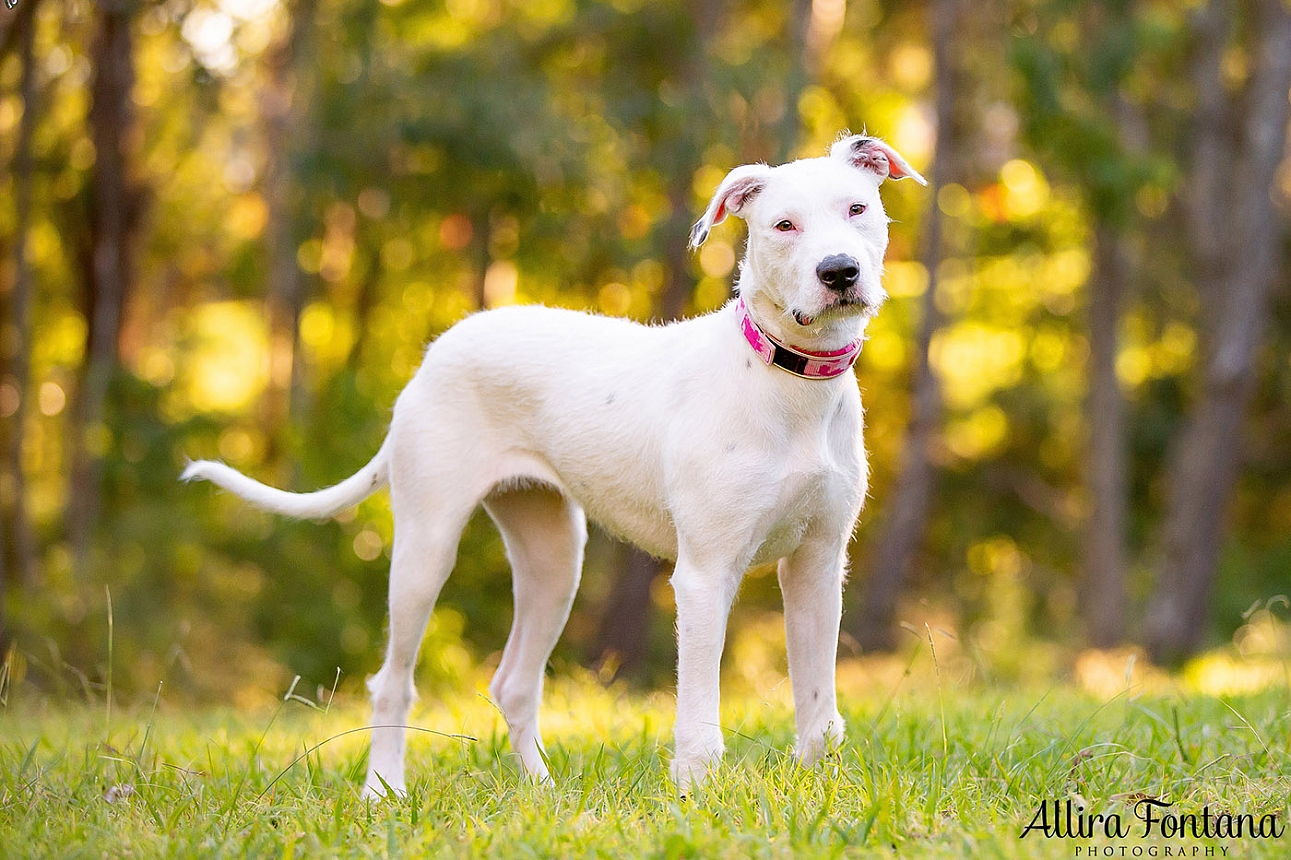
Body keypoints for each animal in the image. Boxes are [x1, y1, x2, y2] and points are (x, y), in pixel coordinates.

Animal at [187, 130, 924, 795]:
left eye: (857, 208)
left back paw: (542, 793)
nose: (839, 272)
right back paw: (382, 792)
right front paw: (696, 799)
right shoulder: (705, 574)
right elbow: (699, 718)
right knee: (391, 682)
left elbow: (818, 706)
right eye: (782, 225)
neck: (786, 380)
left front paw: (816, 791)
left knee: (513, 683)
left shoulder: (817, 565)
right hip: (425, 547)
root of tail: (438, 349)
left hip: (552, 556)